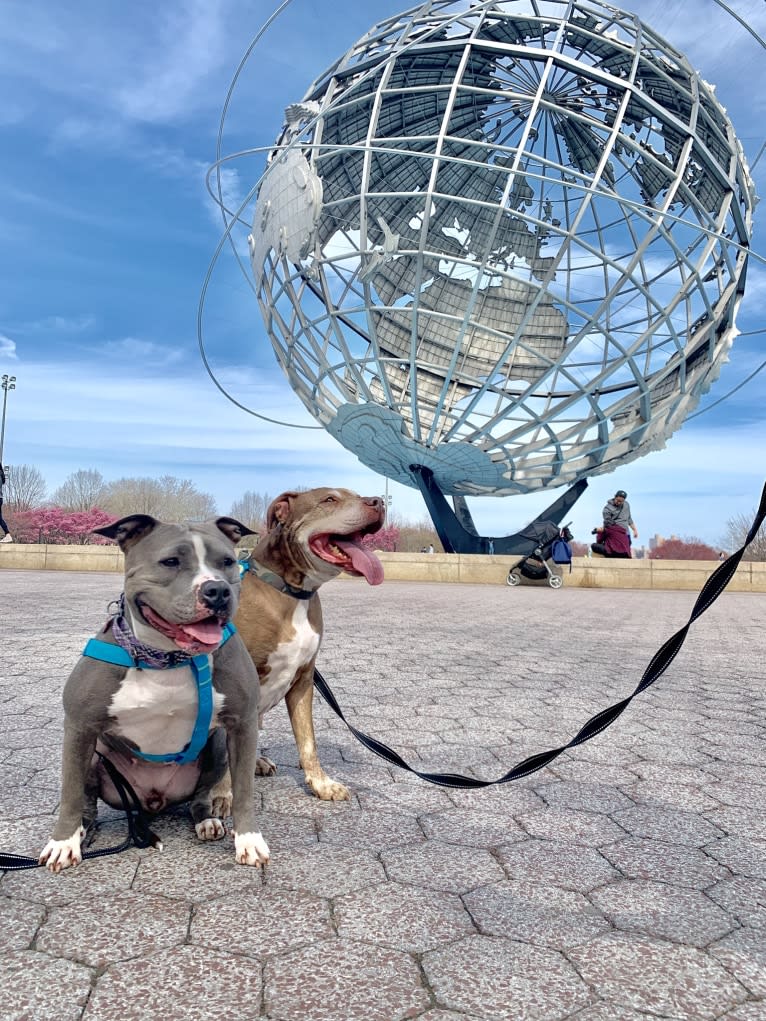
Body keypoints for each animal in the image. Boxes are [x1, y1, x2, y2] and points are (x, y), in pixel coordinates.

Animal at [41, 514, 273, 873]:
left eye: (227, 562)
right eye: (170, 562)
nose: (217, 590)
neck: (168, 658)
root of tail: (152, 800)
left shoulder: (242, 723)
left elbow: (244, 789)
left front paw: (249, 840)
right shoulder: (79, 727)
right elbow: (71, 793)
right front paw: (62, 842)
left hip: (217, 745)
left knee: (200, 797)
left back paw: (206, 821)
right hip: (96, 754)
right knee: (87, 802)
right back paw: (81, 832)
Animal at [229, 481, 381, 800]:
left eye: (357, 494)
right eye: (329, 499)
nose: (378, 501)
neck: (292, 592)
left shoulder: (303, 679)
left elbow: (308, 740)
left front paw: (321, 783)